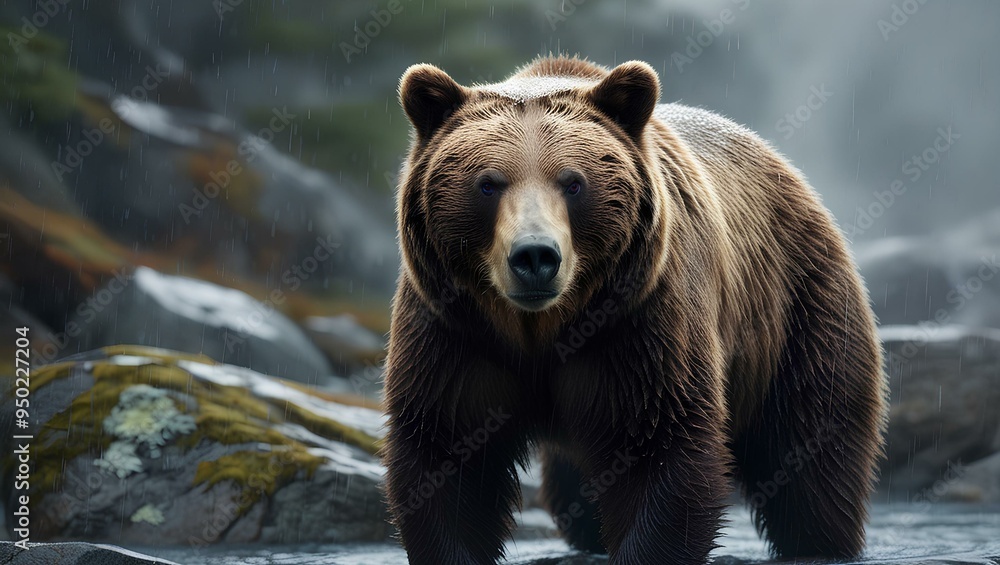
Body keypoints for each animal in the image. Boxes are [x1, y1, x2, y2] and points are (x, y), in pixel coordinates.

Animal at [382, 55, 887, 565]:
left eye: (573, 182)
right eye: (487, 184)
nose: (535, 256)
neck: (542, 329)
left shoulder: (641, 323)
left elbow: (661, 444)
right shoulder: (456, 331)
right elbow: (448, 455)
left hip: (794, 306)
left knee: (810, 447)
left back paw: (820, 540)